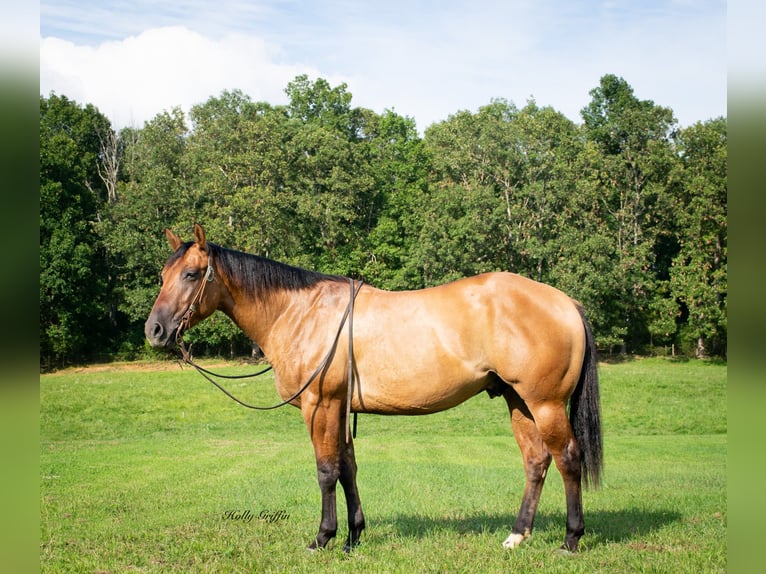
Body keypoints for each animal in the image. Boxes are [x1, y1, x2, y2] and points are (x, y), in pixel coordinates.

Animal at [145, 224, 603, 553]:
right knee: (536, 461)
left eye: (190, 274)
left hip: (545, 403)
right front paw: (353, 536)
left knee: (568, 458)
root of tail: (566, 302)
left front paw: (323, 538)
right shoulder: (340, 408)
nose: (154, 330)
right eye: (163, 274)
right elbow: (347, 468)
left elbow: (326, 471)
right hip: (517, 400)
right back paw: (517, 535)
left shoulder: (320, 405)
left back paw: (570, 539)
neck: (302, 313)